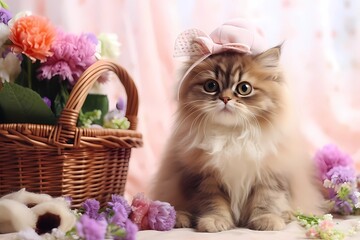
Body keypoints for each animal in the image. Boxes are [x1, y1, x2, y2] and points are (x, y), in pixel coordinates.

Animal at [150, 45, 324, 232]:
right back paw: (181, 218)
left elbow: (266, 201)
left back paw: (286, 215)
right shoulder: (206, 178)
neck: (232, 135)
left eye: (244, 88)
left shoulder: (269, 174)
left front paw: (267, 220)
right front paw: (215, 221)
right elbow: (214, 204)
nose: (225, 98)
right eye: (211, 86)